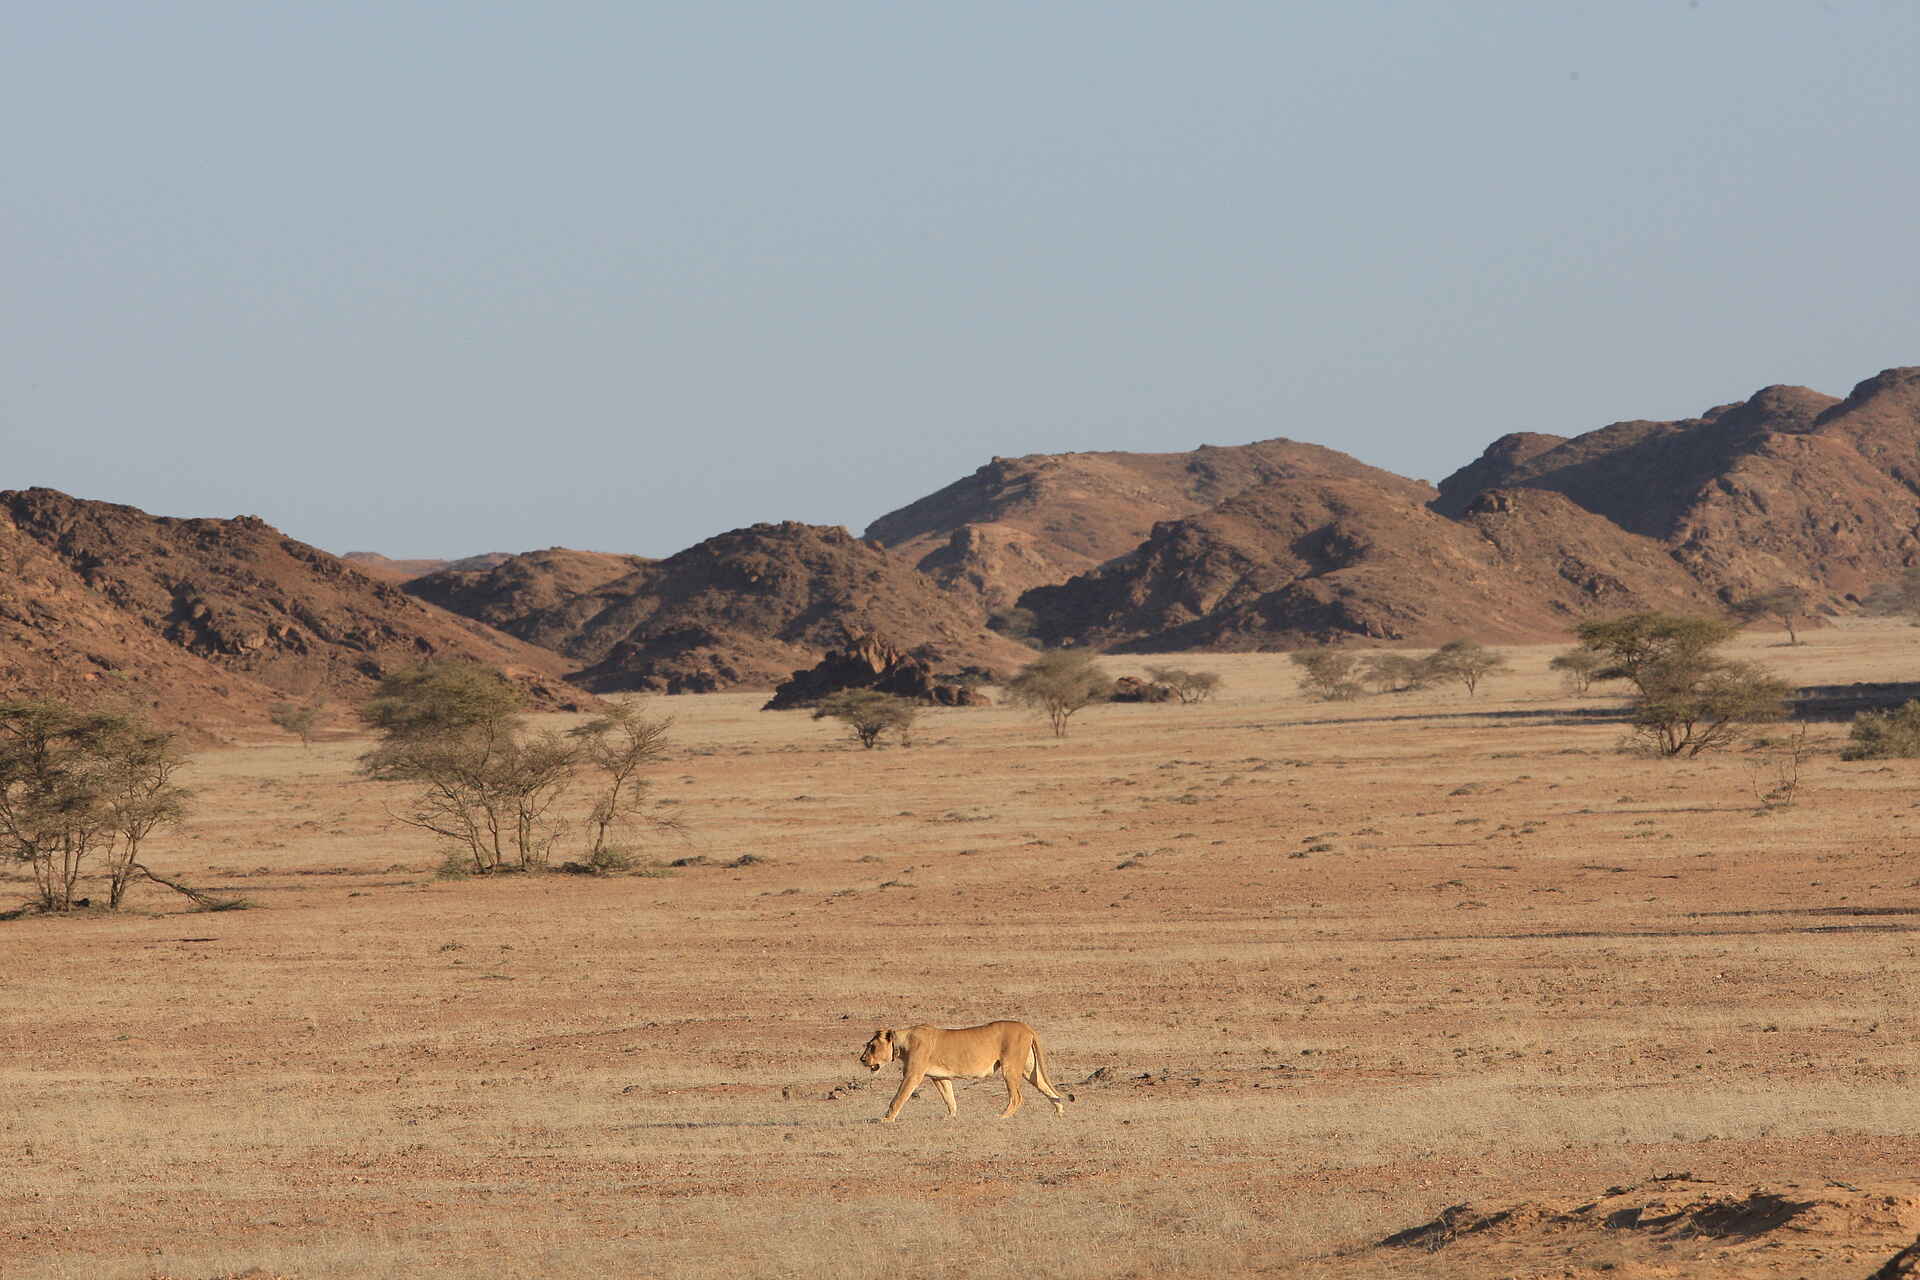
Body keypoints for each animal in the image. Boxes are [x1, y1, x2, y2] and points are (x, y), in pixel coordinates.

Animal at [858, 1020, 1071, 1122]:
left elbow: (898, 1098)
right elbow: (949, 1098)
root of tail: (1026, 1026)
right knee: (1046, 1087)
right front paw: (950, 1117)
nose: (862, 1059)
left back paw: (1001, 1117)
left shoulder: (913, 1075)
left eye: (872, 1046)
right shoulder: (939, 1077)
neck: (902, 1042)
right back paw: (1059, 1112)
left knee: (1017, 1097)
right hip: (1028, 1069)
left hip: (1010, 1067)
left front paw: (886, 1119)